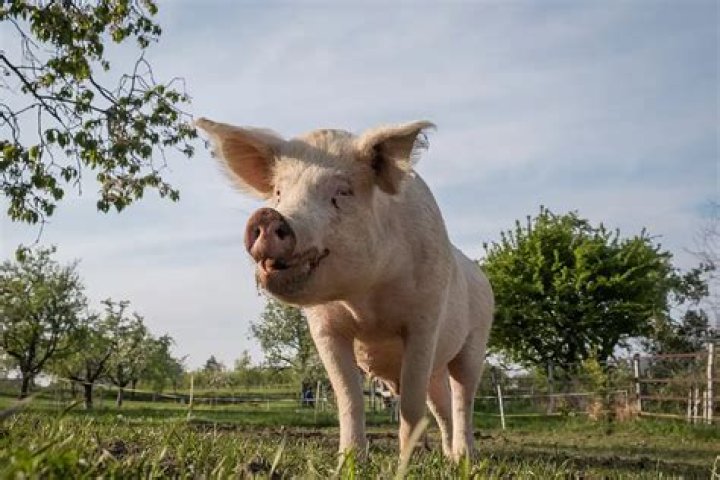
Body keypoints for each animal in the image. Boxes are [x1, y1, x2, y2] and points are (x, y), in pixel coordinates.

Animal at [196, 118, 494, 461]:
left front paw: (406, 462)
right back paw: (448, 457)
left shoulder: (425, 319)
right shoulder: (325, 327)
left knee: (462, 398)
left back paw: (465, 457)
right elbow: (349, 395)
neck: (367, 305)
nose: (267, 216)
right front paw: (349, 461)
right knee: (441, 404)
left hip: (476, 339)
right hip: (438, 366)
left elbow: (411, 402)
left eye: (342, 191)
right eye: (279, 191)